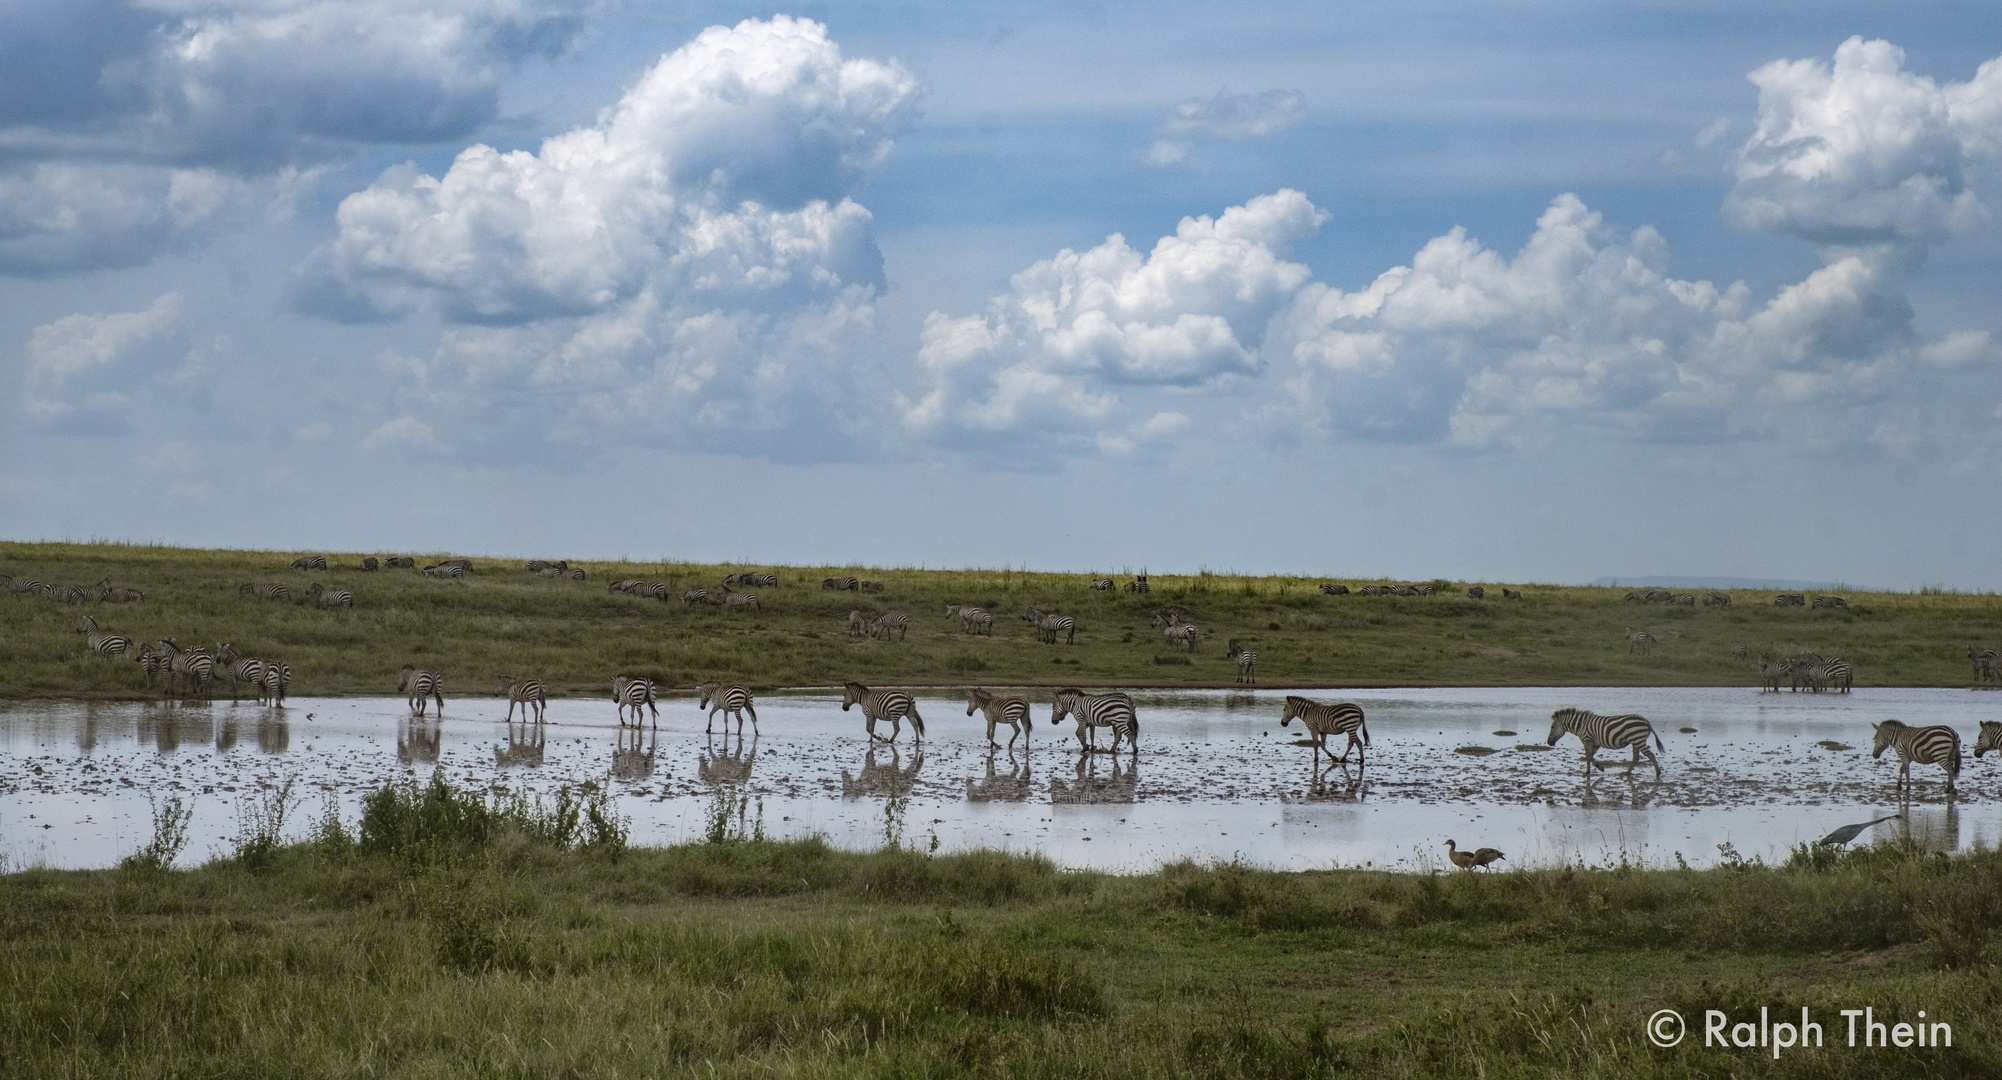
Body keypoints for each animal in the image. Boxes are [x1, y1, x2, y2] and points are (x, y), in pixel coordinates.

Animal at [1537, 709, 1665, 777]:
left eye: (1552, 727)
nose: (1549, 743)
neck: (1580, 726)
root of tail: (1647, 721)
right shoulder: (1596, 743)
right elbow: (1590, 756)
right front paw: (1597, 768)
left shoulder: (1587, 740)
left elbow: (1588, 756)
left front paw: (1590, 771)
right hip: (1635, 742)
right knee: (1636, 758)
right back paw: (1627, 773)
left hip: (1638, 739)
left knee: (1650, 755)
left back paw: (1658, 773)